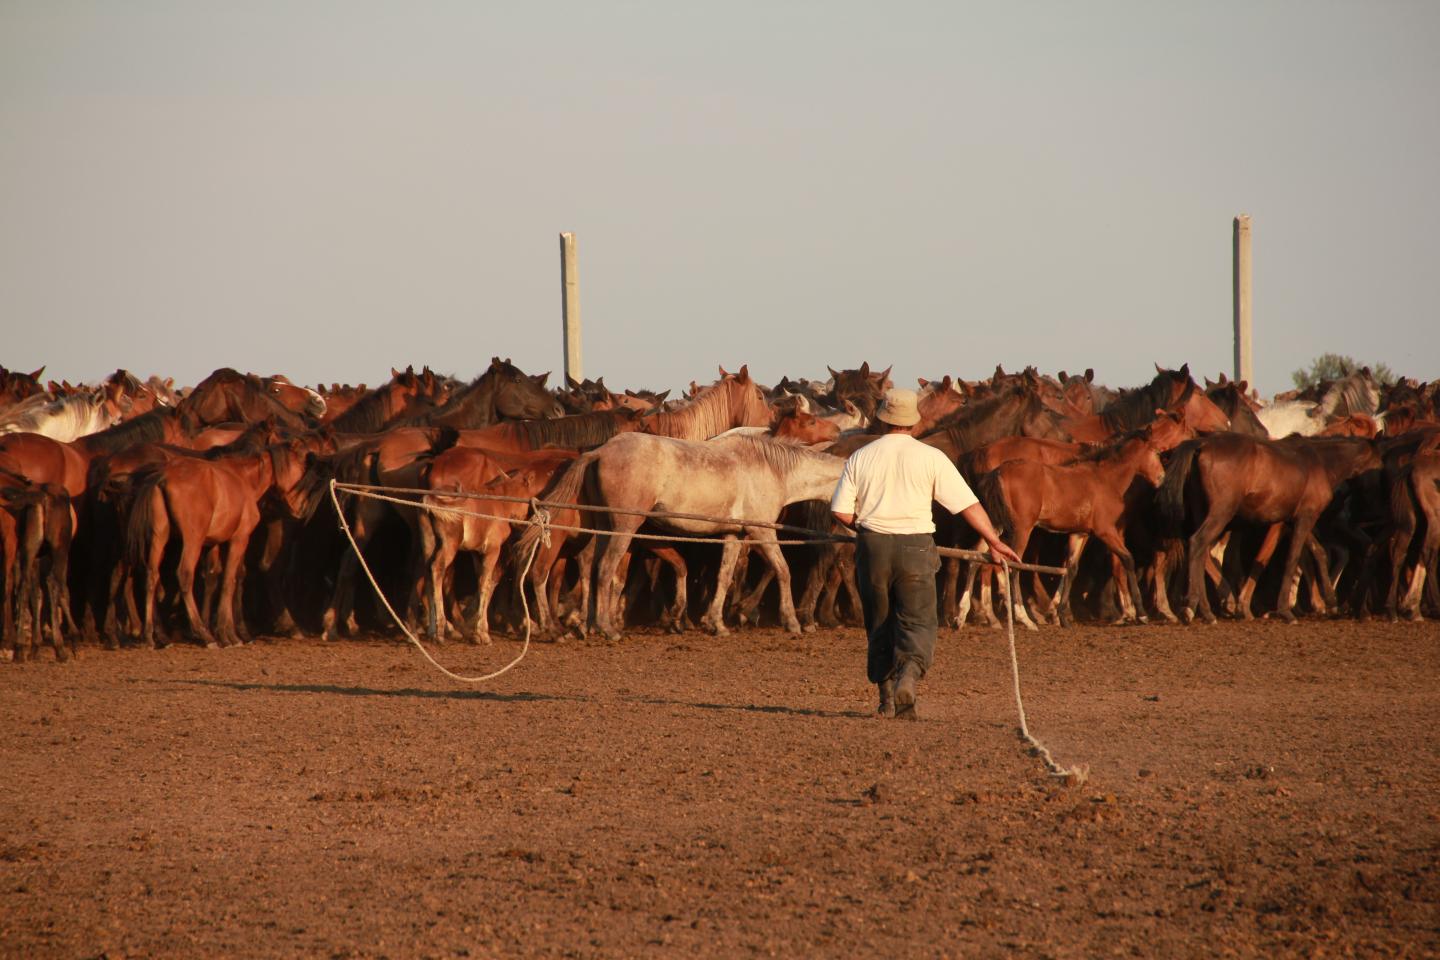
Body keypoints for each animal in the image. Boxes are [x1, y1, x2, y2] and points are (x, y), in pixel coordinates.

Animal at [528, 432, 844, 640]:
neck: (771, 469)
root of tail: (600, 452)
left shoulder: (734, 534)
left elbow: (724, 576)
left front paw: (716, 623)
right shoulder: (761, 531)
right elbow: (783, 570)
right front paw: (792, 622)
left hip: (606, 527)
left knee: (593, 567)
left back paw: (591, 624)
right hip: (624, 528)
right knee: (605, 569)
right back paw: (607, 628)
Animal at [1157, 434, 1382, 624]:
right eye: (1381, 465)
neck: (1321, 463)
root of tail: (1202, 444)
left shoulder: (1293, 520)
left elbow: (1316, 552)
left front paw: (1330, 600)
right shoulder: (1306, 517)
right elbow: (1292, 558)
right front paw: (1286, 610)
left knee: (1200, 552)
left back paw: (1204, 608)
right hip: (1221, 513)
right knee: (1198, 543)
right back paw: (1200, 609)